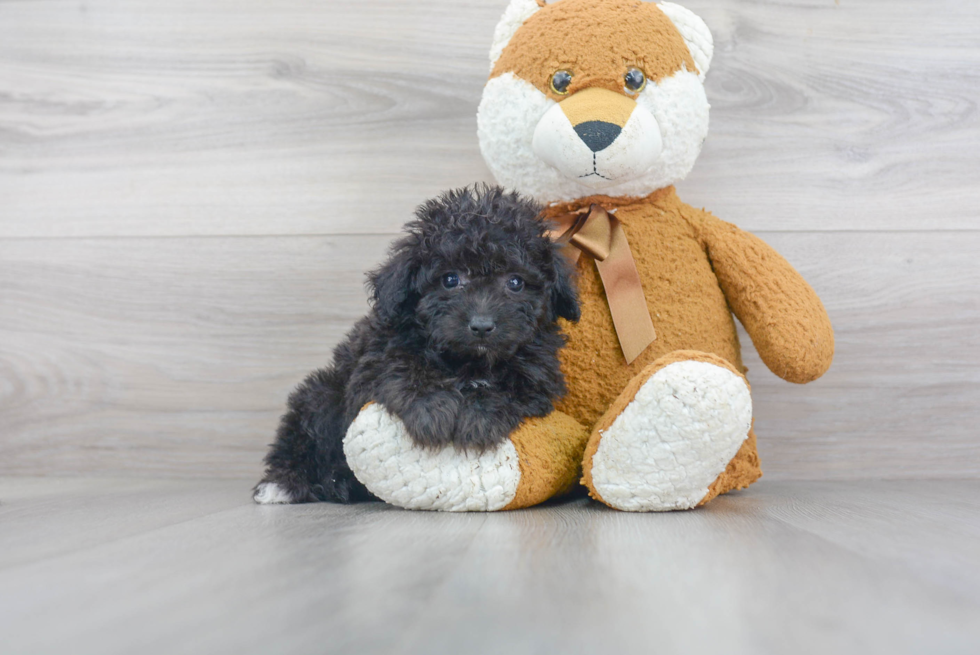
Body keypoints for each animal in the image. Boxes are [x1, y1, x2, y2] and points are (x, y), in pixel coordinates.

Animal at [253, 187, 580, 504]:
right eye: (450, 279)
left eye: (515, 282)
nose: (482, 325)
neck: (468, 361)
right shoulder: (375, 358)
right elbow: (402, 367)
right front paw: (431, 411)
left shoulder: (539, 374)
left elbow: (510, 388)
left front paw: (478, 417)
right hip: (323, 394)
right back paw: (285, 484)